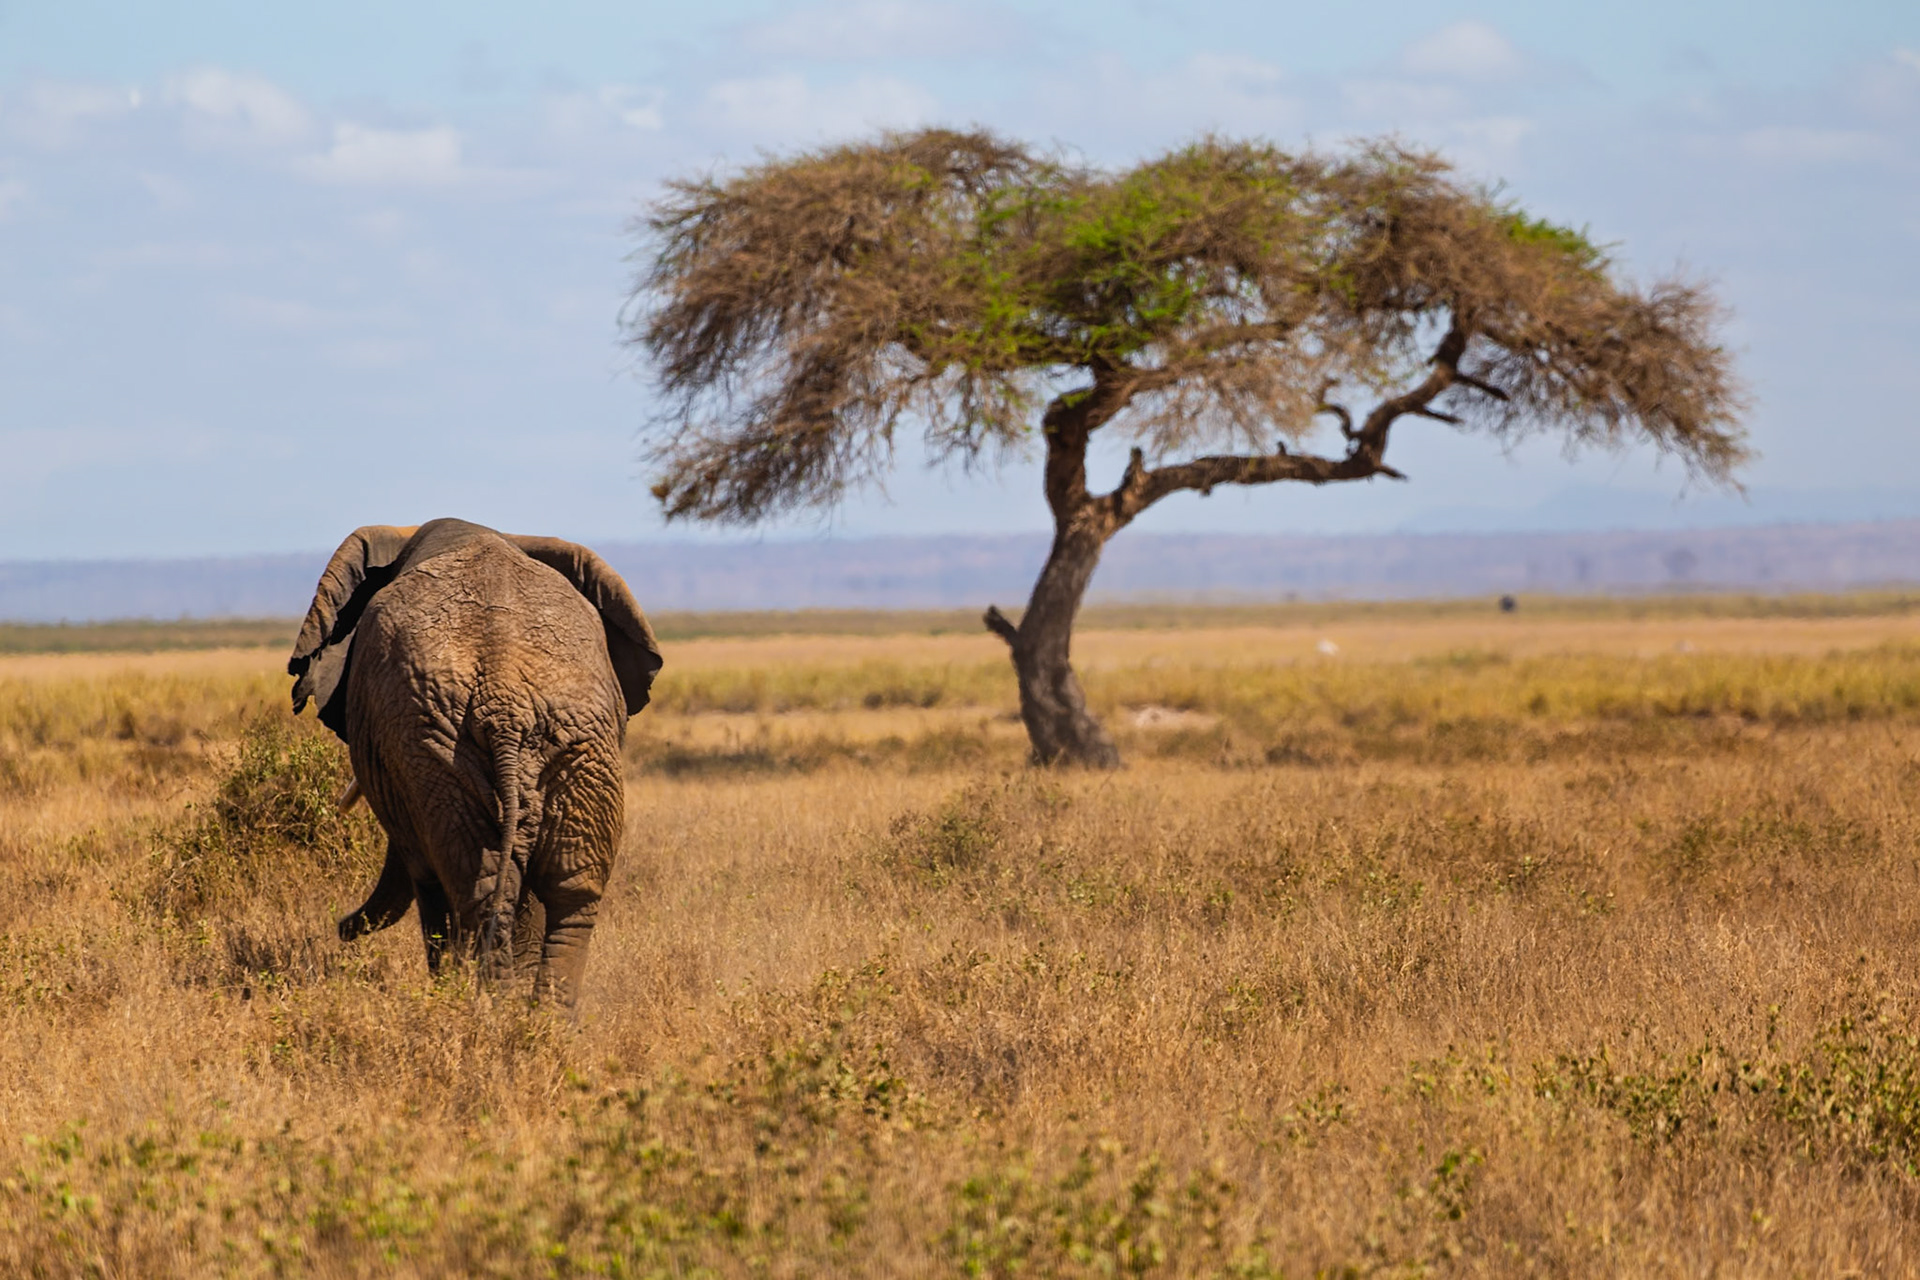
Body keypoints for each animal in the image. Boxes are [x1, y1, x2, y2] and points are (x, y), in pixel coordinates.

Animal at [287, 518, 663, 1008]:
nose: (338, 928)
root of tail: (503, 697)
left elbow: (426, 878)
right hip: (568, 745)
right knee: (569, 887)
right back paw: (540, 1015)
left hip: (445, 755)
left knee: (480, 886)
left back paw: (494, 1008)